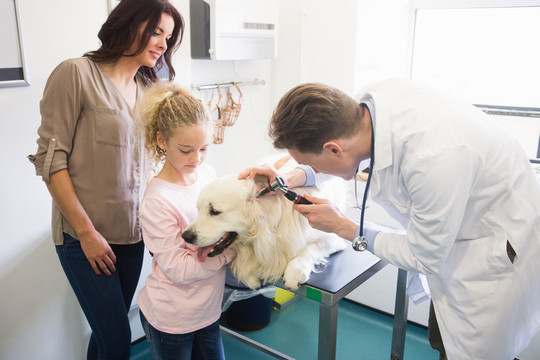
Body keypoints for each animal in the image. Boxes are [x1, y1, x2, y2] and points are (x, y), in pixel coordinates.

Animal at [181, 160, 346, 290]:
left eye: (214, 211)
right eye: (198, 209)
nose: (185, 236)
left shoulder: (333, 235)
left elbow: (309, 248)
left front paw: (295, 271)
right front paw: (250, 278)